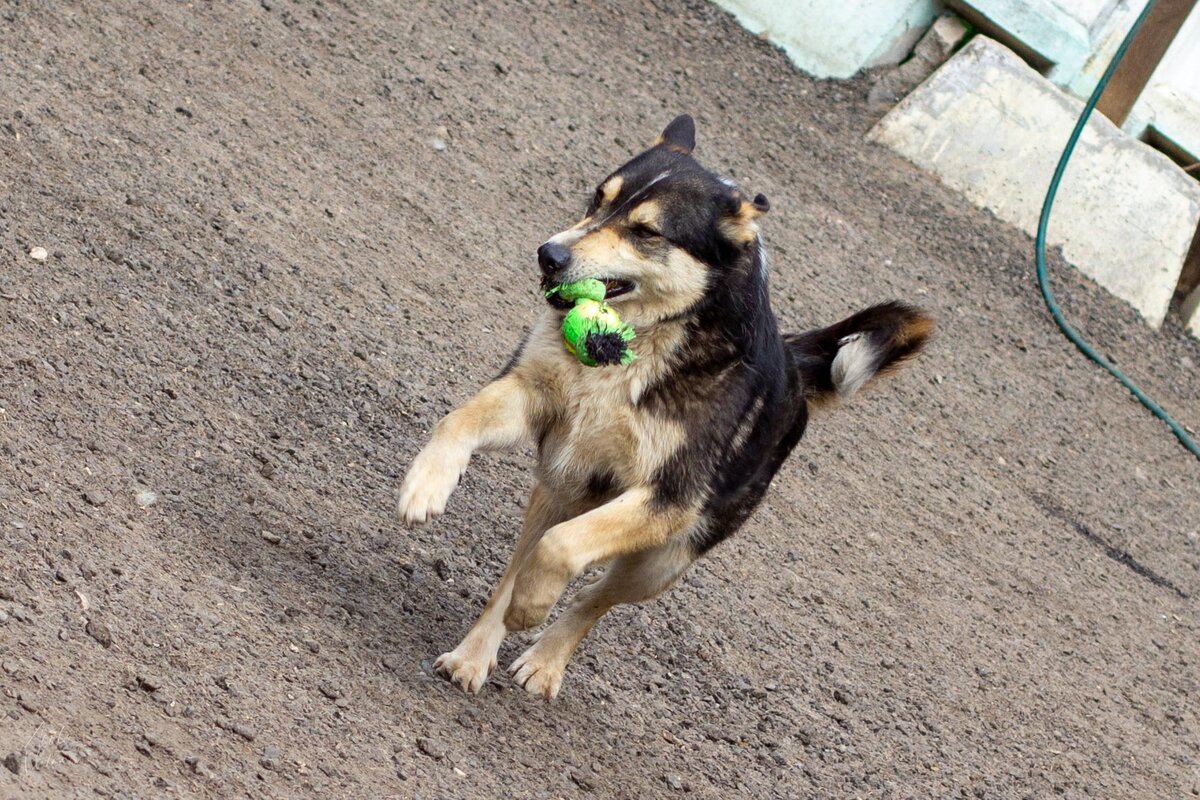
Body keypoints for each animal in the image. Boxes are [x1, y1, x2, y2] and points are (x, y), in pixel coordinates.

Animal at [398, 115, 931, 695]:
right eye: (599, 199)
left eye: (647, 232)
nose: (549, 254)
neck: (642, 339)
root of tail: (793, 361)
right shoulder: (534, 396)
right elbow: (457, 420)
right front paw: (425, 485)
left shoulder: (669, 496)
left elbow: (563, 550)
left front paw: (532, 610)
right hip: (559, 486)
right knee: (519, 567)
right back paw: (474, 655)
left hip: (663, 559)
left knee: (592, 596)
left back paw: (545, 659)